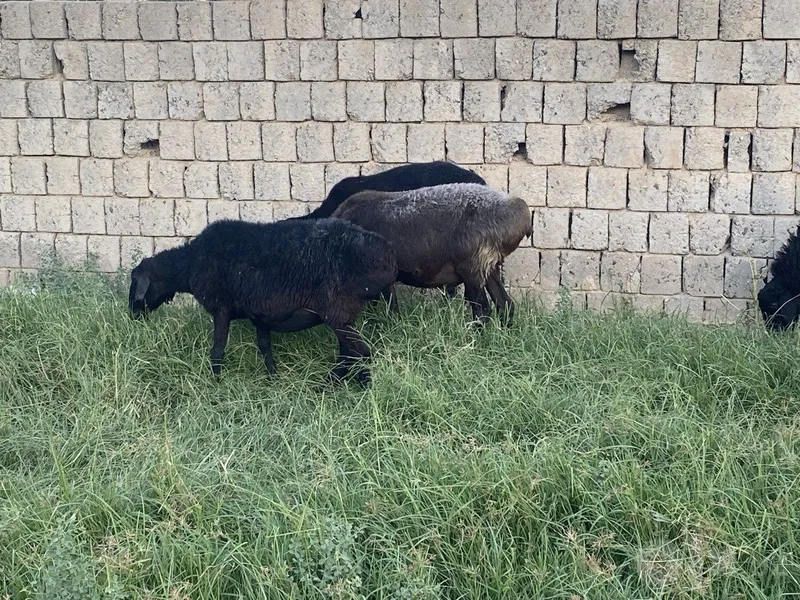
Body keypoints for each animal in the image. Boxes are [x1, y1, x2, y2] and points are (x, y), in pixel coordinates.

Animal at [128, 218, 398, 387]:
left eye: (135, 282)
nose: (132, 315)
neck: (190, 264)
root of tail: (387, 256)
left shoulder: (221, 308)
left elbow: (217, 350)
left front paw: (216, 383)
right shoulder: (260, 315)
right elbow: (265, 348)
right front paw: (273, 380)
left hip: (337, 310)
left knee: (361, 352)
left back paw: (362, 388)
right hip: (342, 314)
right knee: (348, 352)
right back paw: (330, 385)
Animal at [331, 182, 532, 326]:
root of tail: (521, 211)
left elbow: (389, 308)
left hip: (474, 267)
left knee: (482, 310)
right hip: (490, 267)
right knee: (505, 304)